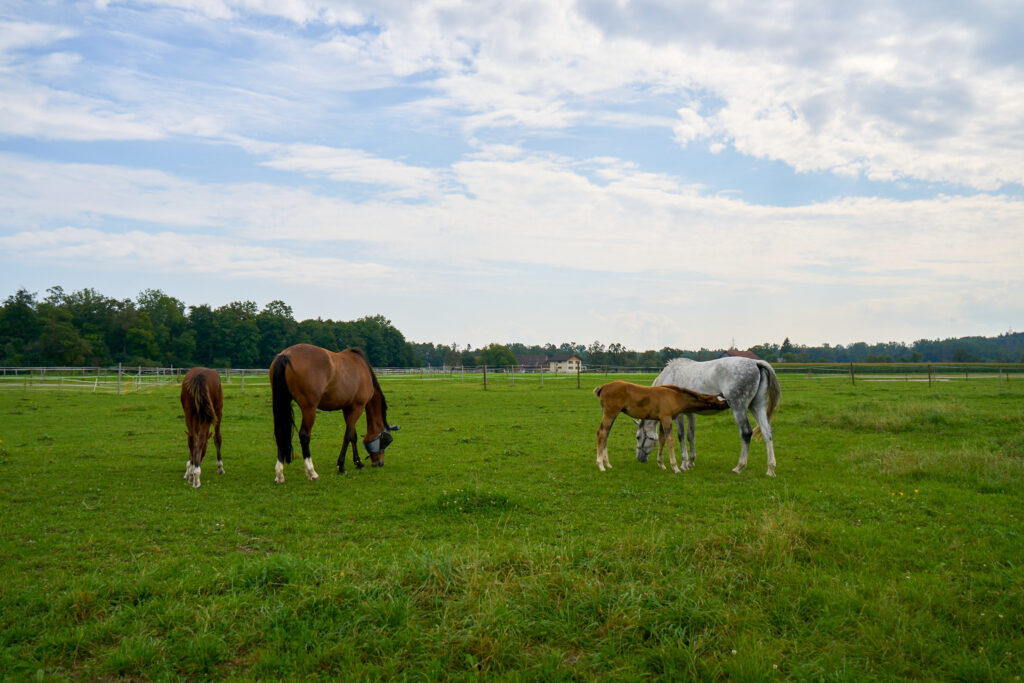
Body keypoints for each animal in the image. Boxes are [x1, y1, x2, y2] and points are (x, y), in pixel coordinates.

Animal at [268, 344, 395, 483]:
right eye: (387, 441)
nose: (380, 463)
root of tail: (286, 354)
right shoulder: (357, 408)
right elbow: (348, 436)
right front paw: (341, 466)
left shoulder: (347, 409)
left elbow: (353, 436)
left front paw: (358, 462)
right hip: (309, 409)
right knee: (304, 435)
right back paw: (312, 472)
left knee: (279, 434)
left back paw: (279, 474)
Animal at [593, 382, 729, 473]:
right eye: (719, 401)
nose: (729, 402)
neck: (675, 396)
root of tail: (603, 387)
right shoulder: (666, 418)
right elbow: (670, 440)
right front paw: (675, 467)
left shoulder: (662, 420)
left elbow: (662, 440)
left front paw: (662, 465)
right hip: (610, 413)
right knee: (602, 432)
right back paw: (600, 465)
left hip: (611, 414)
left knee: (606, 434)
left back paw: (607, 463)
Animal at [630, 358, 782, 475]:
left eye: (638, 437)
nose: (639, 458)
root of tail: (756, 363)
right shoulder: (691, 414)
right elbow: (690, 436)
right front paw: (690, 462)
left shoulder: (678, 415)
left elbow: (681, 436)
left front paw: (683, 464)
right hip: (757, 406)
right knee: (767, 432)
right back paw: (770, 469)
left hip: (739, 408)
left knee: (746, 433)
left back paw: (739, 467)